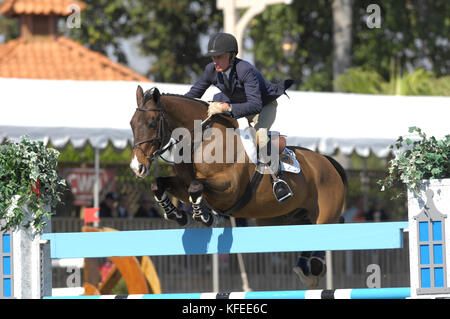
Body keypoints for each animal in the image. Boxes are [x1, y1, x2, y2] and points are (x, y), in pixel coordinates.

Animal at [130, 85, 348, 288]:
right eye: (131, 124)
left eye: (151, 122)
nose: (137, 167)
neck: (201, 140)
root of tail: (328, 162)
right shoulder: (183, 184)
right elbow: (159, 184)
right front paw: (177, 214)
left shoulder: (229, 188)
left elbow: (196, 187)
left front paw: (204, 215)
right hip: (287, 217)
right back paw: (304, 268)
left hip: (324, 214)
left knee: (324, 232)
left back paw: (315, 265)